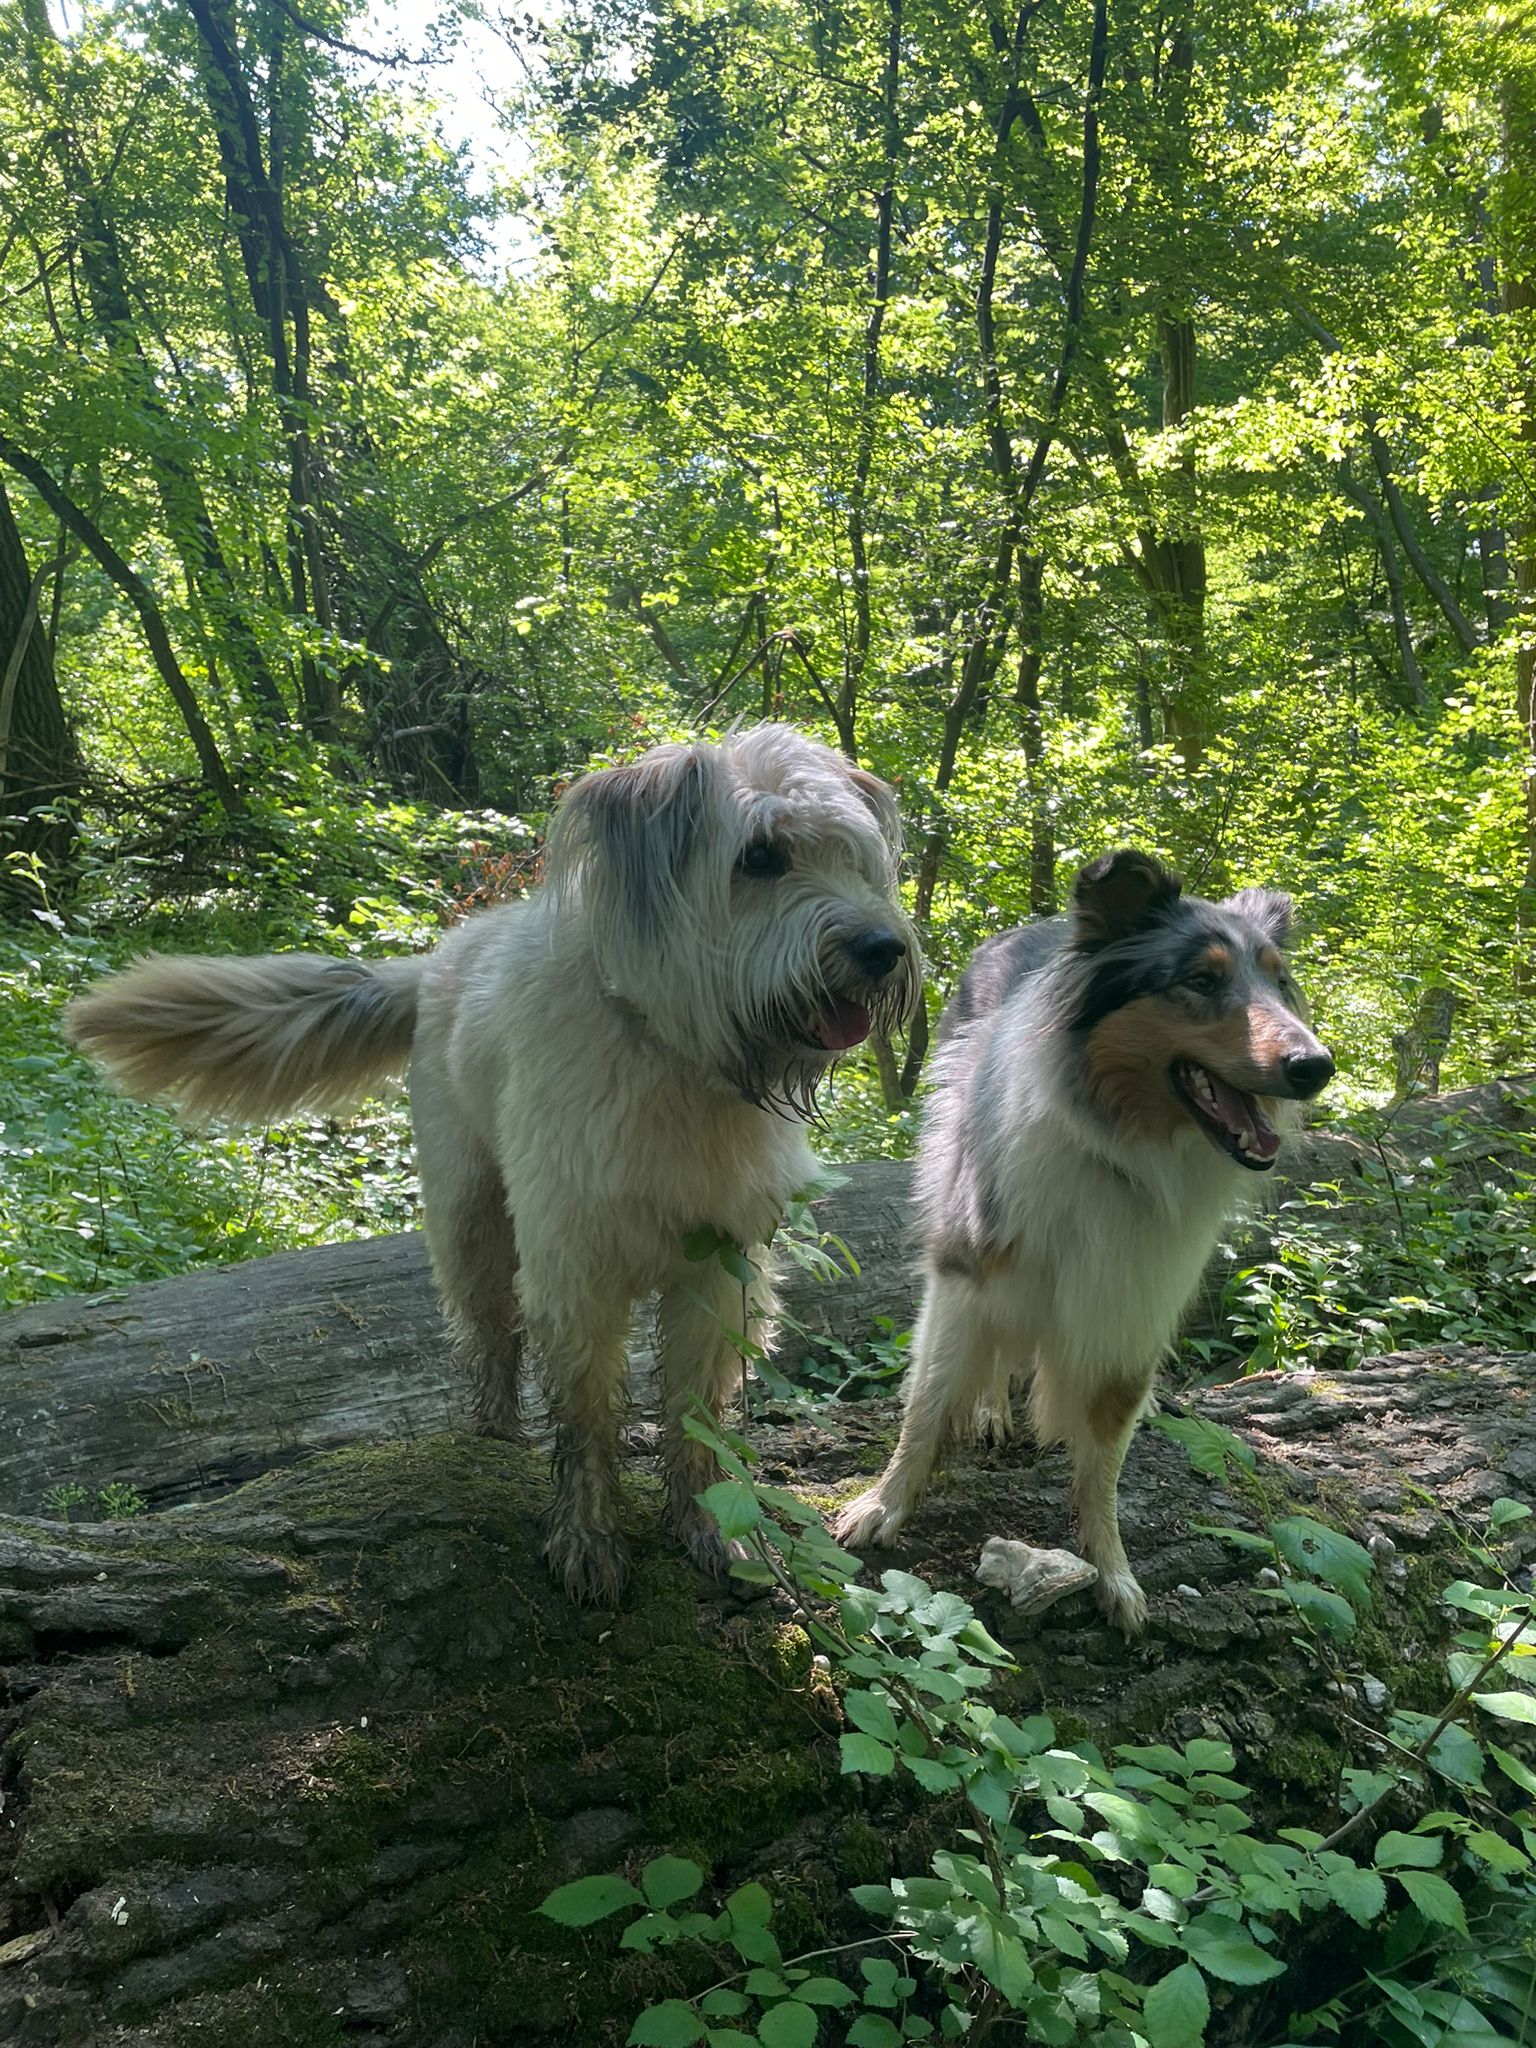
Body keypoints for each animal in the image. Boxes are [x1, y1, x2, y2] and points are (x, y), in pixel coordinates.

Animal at [66, 729, 921, 1605]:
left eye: (853, 858)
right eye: (759, 857)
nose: (883, 949)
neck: (675, 1056)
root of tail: (441, 956)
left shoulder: (720, 1267)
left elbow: (697, 1413)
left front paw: (710, 1528)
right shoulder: (573, 1265)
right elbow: (583, 1413)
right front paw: (587, 1536)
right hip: (469, 1214)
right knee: (489, 1338)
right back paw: (493, 1435)